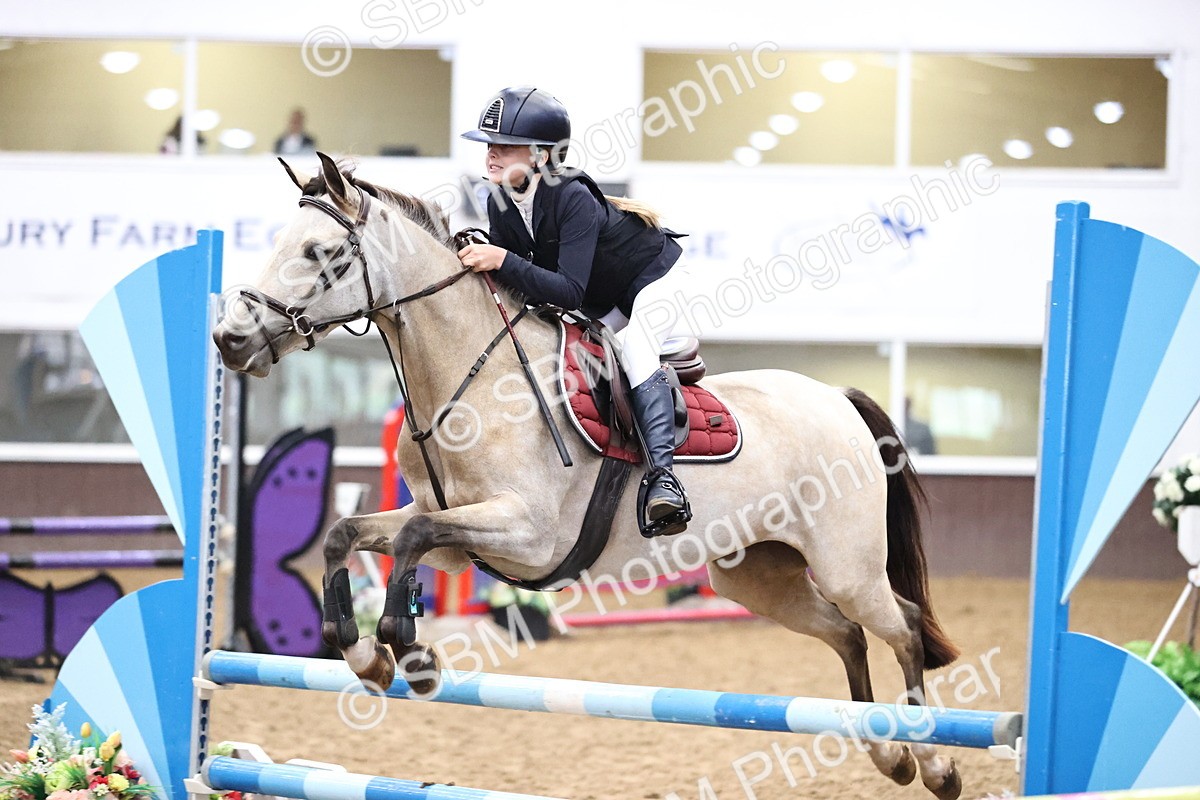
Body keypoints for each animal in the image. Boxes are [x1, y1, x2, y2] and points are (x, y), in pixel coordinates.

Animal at [212, 153, 963, 800]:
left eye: (320, 253)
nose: (231, 338)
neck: (470, 374)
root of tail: (839, 399)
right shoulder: (459, 537)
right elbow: (354, 534)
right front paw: (366, 655)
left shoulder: (526, 532)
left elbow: (411, 538)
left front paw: (404, 645)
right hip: (755, 575)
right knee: (847, 634)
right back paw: (889, 754)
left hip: (845, 565)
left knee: (901, 625)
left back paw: (935, 763)